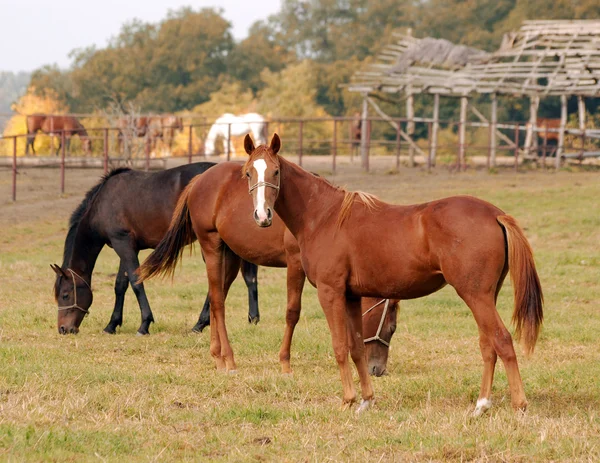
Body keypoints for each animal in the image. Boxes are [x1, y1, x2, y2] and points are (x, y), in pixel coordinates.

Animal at [51, 163, 258, 338]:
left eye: (65, 295)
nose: (63, 329)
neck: (102, 203)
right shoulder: (127, 245)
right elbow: (120, 285)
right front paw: (112, 325)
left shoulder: (122, 243)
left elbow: (136, 282)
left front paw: (144, 324)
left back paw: (201, 323)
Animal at [138, 162, 400, 376]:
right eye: (391, 325)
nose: (378, 369)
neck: (318, 214)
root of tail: (200, 180)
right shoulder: (295, 264)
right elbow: (292, 312)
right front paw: (285, 363)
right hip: (211, 247)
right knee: (218, 303)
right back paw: (228, 360)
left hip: (230, 256)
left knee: (215, 298)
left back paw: (217, 356)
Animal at [243, 133, 544, 416]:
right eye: (248, 173)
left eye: (275, 172)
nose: (261, 216)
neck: (324, 216)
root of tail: (496, 214)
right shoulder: (351, 296)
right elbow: (356, 348)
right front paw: (366, 400)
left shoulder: (331, 292)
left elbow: (339, 347)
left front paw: (347, 400)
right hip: (485, 296)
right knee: (487, 344)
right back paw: (481, 404)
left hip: (475, 295)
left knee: (502, 340)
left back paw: (519, 404)